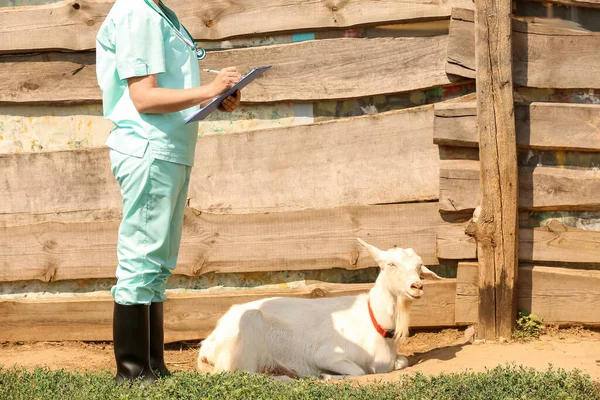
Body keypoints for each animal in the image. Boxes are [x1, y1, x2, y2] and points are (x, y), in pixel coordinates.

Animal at [197, 239, 440, 380]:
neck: (374, 322)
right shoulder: (326, 354)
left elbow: (403, 361)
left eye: (419, 266)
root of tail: (208, 344)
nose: (416, 286)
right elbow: (359, 371)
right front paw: (326, 376)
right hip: (246, 335)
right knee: (243, 374)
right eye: (390, 264)